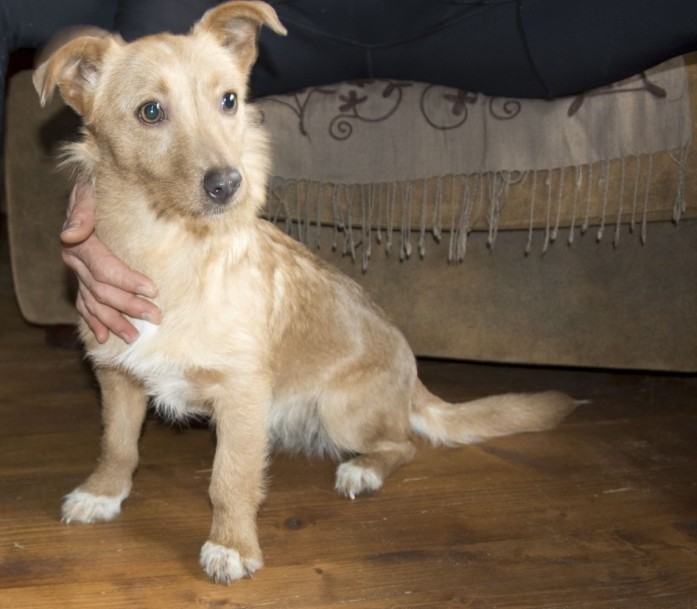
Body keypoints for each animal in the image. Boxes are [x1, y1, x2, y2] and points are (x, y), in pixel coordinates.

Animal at [34, 0, 577, 584]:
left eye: (230, 100)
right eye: (151, 112)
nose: (229, 184)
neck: (168, 247)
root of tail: (413, 377)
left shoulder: (242, 393)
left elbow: (230, 479)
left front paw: (232, 545)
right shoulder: (117, 374)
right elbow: (117, 446)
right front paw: (103, 494)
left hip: (342, 410)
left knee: (403, 444)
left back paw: (363, 471)